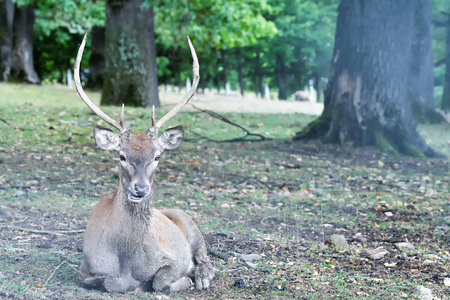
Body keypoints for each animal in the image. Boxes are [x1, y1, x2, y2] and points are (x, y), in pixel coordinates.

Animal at [73, 32, 214, 292]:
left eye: (157, 156)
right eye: (121, 155)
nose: (140, 189)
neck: (128, 259)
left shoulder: (172, 259)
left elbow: (160, 281)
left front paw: (186, 280)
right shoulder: (84, 268)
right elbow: (109, 281)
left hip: (191, 225)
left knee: (205, 256)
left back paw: (201, 277)